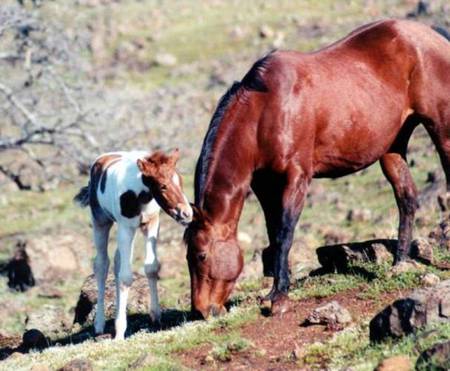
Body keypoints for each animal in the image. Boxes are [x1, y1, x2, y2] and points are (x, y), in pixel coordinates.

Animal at [75, 149, 192, 340]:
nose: (187, 214)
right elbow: (125, 277)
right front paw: (120, 332)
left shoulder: (151, 224)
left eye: (180, 181)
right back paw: (99, 324)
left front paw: (156, 317)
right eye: (162, 186)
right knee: (102, 264)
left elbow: (151, 267)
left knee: (116, 262)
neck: (139, 194)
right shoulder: (126, 227)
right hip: (101, 221)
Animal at [185, 18, 450, 318]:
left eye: (201, 255)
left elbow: (284, 233)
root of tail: (433, 35)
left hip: (440, 127)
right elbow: (273, 234)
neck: (266, 109)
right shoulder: (265, 184)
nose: (200, 311)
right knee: (406, 197)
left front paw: (280, 298)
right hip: (393, 146)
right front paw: (273, 292)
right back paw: (399, 263)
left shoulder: (297, 177)